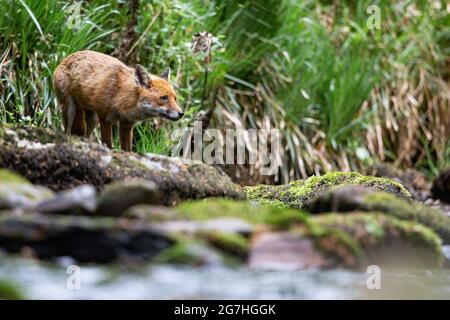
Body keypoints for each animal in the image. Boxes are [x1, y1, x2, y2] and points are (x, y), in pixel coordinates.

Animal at [53, 50, 184, 151]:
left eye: (175, 98)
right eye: (164, 98)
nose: (181, 113)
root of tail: (66, 58)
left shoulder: (127, 125)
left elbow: (127, 149)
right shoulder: (105, 119)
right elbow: (108, 145)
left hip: (93, 118)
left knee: (86, 135)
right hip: (71, 111)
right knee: (67, 131)